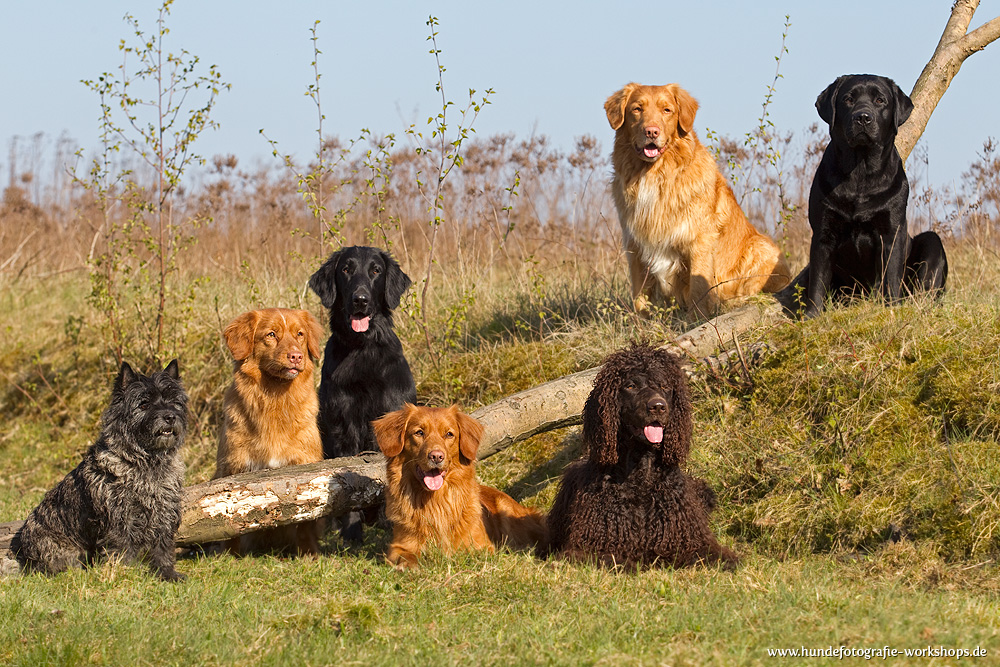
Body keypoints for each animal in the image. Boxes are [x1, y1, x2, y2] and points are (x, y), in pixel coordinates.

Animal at [10, 358, 188, 580]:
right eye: (144, 403)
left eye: (174, 401)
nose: (170, 417)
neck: (146, 463)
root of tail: (24, 551)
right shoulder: (119, 518)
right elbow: (122, 550)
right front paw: (126, 575)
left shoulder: (164, 510)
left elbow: (163, 547)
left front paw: (167, 573)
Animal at [544, 344, 740, 568]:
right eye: (631, 386)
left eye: (664, 385)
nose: (658, 406)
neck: (641, 471)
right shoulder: (588, 547)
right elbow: (613, 559)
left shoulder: (689, 540)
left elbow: (716, 556)